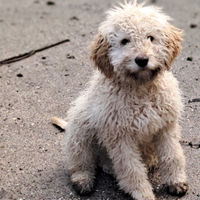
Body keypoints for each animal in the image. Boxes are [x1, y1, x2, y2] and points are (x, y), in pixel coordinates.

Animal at [51, 1, 188, 200]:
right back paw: (83, 180)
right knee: (80, 162)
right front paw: (143, 193)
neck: (140, 89)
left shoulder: (165, 127)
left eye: (151, 37)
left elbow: (173, 155)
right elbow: (131, 168)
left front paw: (176, 181)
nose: (142, 60)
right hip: (81, 128)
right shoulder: (119, 136)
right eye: (124, 41)